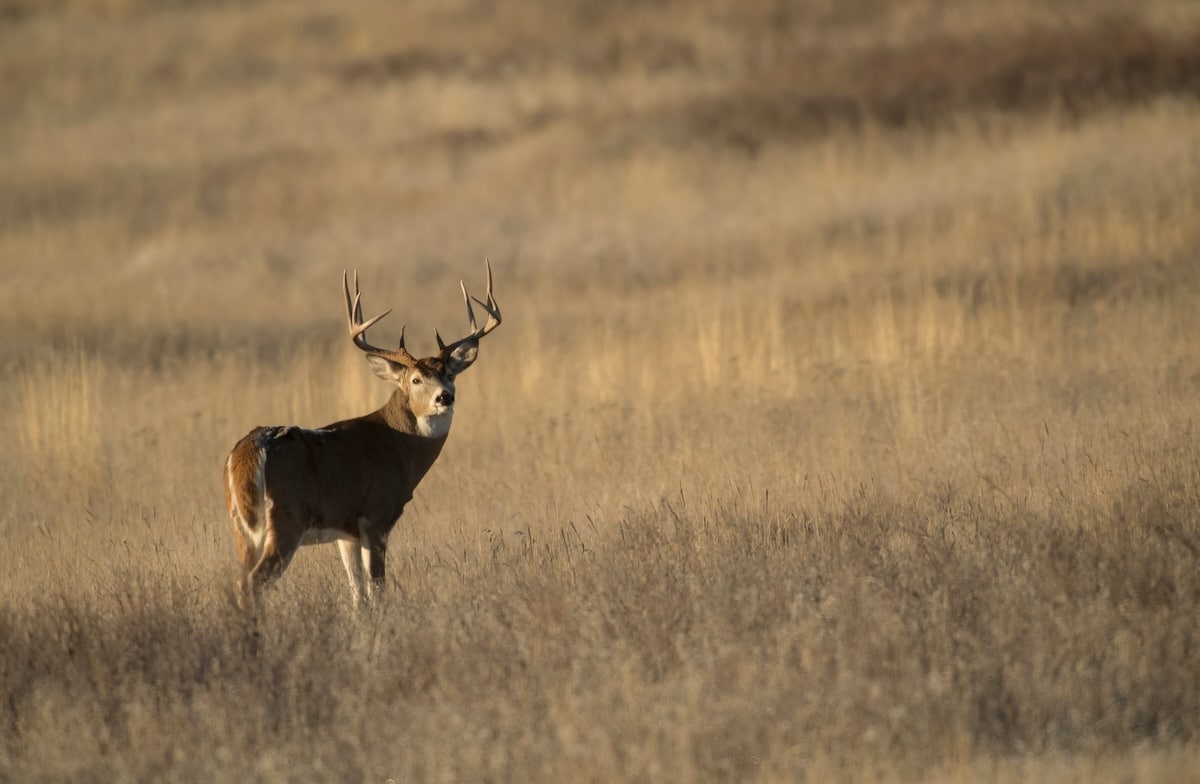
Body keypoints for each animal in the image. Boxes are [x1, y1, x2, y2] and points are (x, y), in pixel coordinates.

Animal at [223, 261, 501, 608]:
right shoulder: (376, 516)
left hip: (241, 525)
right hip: (287, 518)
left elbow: (358, 593)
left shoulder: (346, 531)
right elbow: (377, 588)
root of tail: (248, 449)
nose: (444, 397)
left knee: (238, 580)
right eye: (415, 380)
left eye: (450, 374)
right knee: (253, 581)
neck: (400, 446)